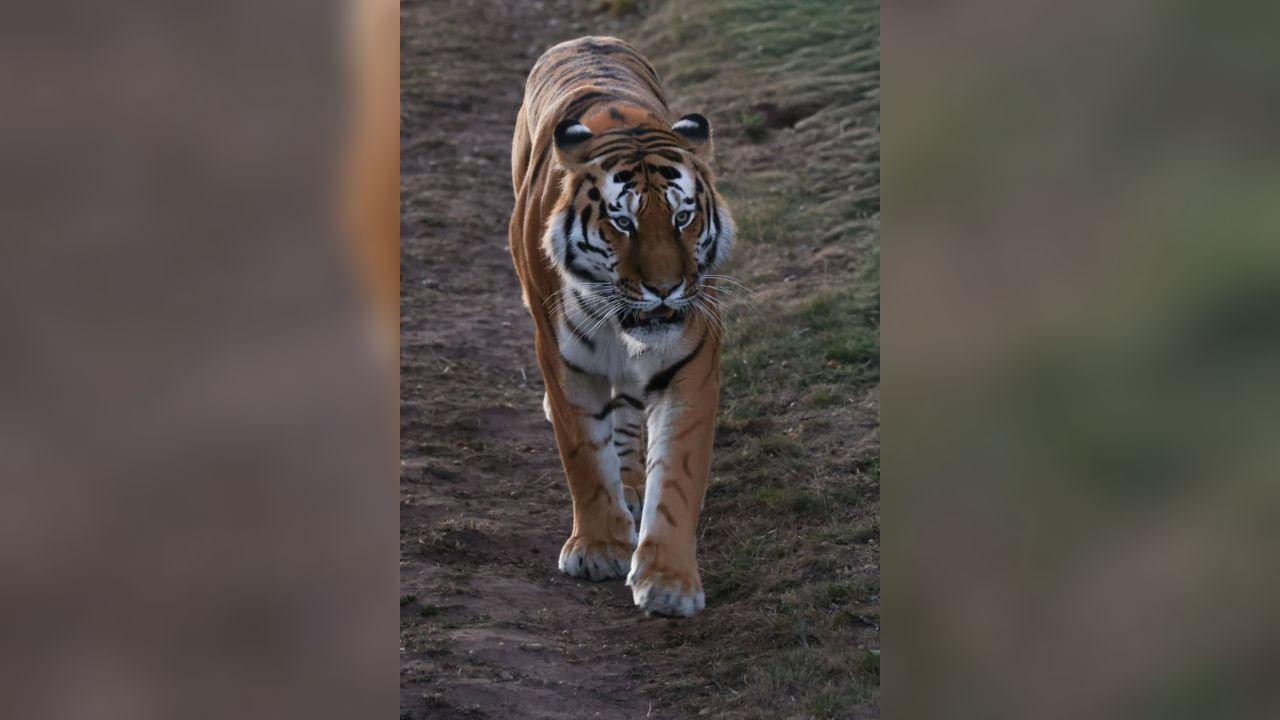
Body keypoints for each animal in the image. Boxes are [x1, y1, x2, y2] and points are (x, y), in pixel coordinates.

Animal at [509, 36, 735, 618]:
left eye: (683, 218)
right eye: (622, 222)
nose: (665, 289)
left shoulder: (691, 363)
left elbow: (676, 473)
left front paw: (669, 582)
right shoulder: (562, 359)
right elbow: (584, 455)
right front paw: (598, 548)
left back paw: (632, 484)